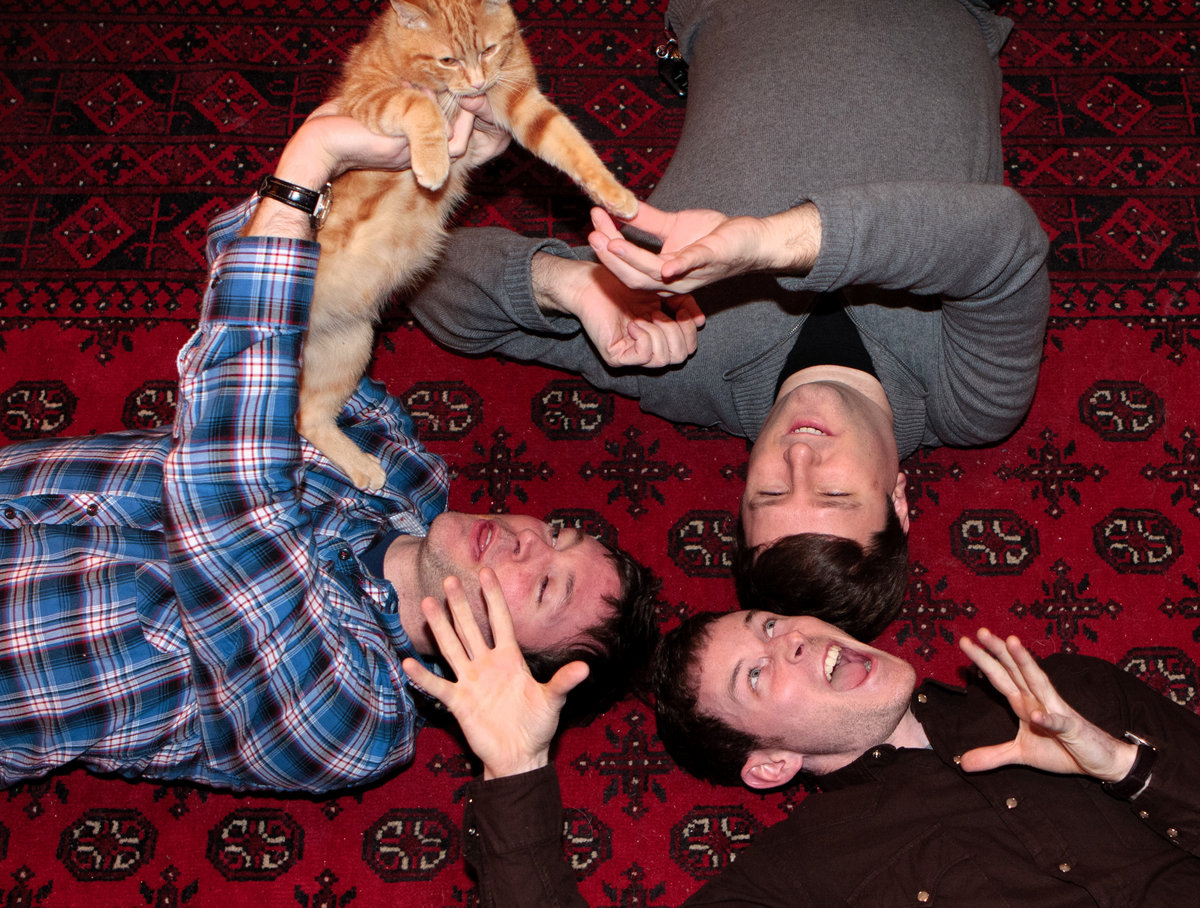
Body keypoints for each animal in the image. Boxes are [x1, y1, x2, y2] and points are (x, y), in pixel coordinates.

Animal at [298, 0, 638, 491]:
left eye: (489, 50)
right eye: (447, 59)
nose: (476, 82)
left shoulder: (518, 99)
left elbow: (571, 146)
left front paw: (614, 194)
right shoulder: (367, 99)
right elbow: (417, 102)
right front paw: (433, 160)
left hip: (349, 346)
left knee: (308, 417)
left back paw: (361, 465)